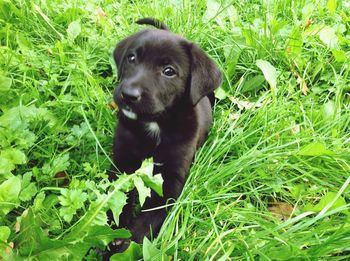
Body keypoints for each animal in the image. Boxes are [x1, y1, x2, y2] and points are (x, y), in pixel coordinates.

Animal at [109, 16, 220, 248]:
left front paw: (123, 245)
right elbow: (117, 200)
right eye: (131, 58)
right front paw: (112, 233)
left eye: (169, 71)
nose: (128, 95)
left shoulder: (170, 182)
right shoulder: (122, 164)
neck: (155, 124)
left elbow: (147, 222)